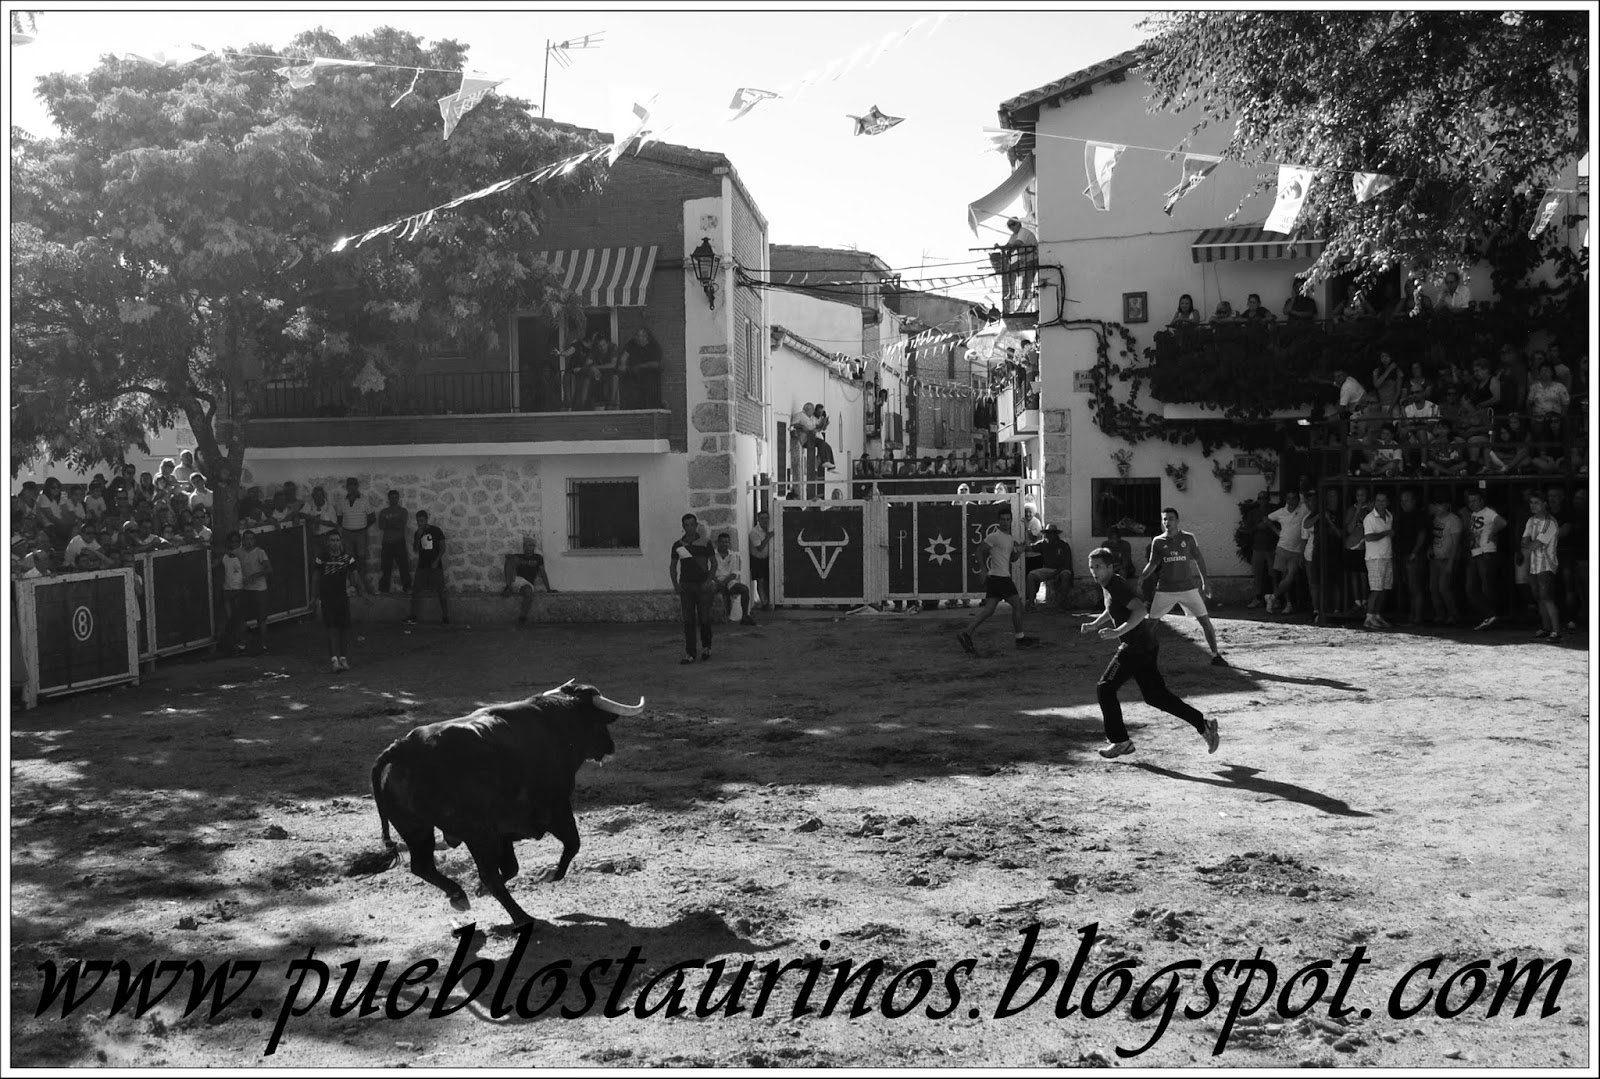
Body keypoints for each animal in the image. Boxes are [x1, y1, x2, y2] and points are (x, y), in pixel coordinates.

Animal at [364, 679, 644, 926]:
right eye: (598, 721)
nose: (610, 745)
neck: (556, 722)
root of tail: (404, 747)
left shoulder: (503, 832)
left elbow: (512, 867)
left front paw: (479, 889)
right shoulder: (556, 808)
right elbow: (572, 844)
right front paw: (548, 875)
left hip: (416, 828)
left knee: (423, 866)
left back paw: (459, 895)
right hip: (475, 833)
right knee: (487, 875)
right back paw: (522, 917)